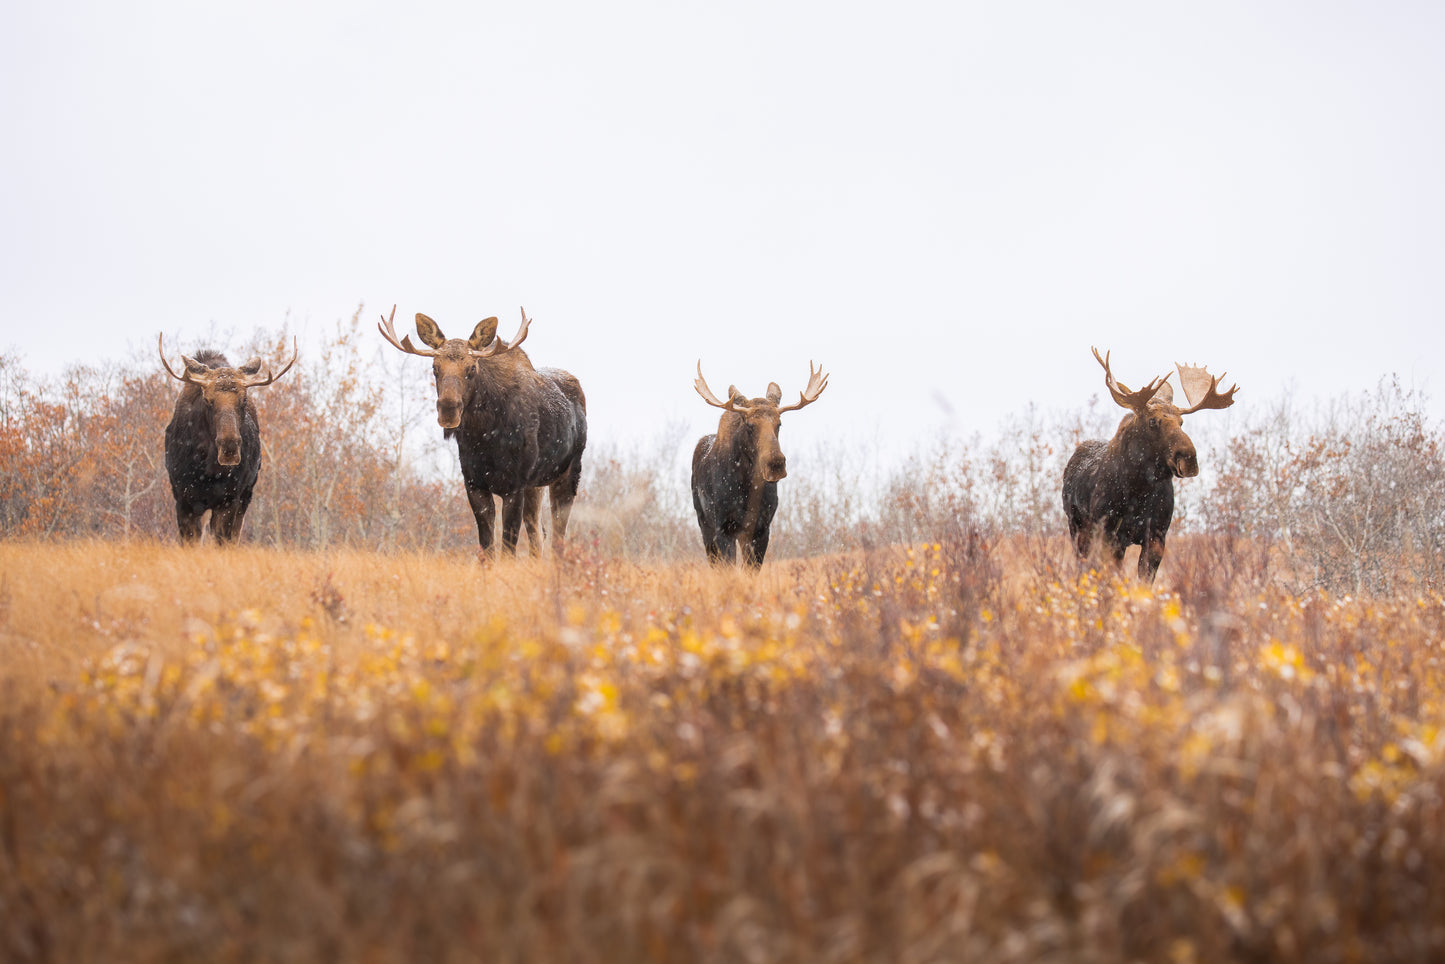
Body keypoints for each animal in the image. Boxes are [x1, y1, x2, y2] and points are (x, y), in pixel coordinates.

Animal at [159, 335, 298, 544]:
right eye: (207, 400)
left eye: (244, 400)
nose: (229, 448)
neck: (207, 470)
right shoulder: (183, 500)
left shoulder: (229, 500)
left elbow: (223, 541)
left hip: (245, 496)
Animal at [378, 306, 586, 557]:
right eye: (435, 368)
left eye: (471, 369)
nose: (448, 410)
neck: (484, 439)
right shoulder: (474, 484)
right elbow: (487, 549)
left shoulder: (514, 486)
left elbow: (508, 550)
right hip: (536, 485)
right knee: (538, 533)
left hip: (568, 474)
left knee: (558, 536)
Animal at [690, 361, 828, 567]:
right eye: (749, 425)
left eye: (779, 424)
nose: (776, 464)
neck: (746, 487)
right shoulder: (723, 527)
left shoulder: (761, 528)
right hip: (704, 522)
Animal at [1062, 347, 1237, 582]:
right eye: (1153, 421)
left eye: (1181, 422)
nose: (1188, 458)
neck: (1139, 489)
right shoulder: (1107, 531)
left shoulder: (1156, 536)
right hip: (1077, 527)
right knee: (1082, 564)